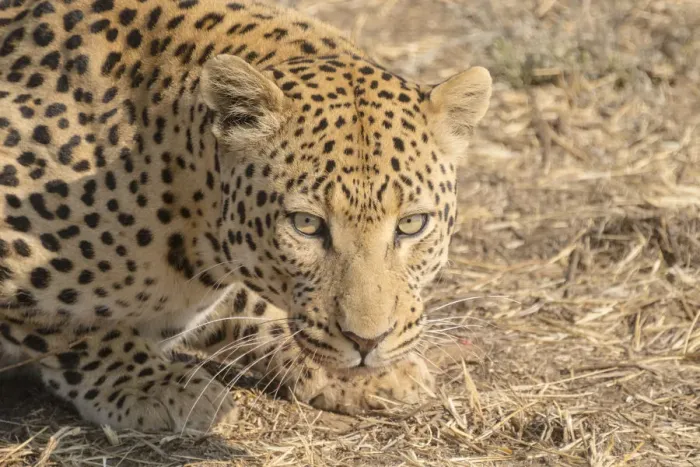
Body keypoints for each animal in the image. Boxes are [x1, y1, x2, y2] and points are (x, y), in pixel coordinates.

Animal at [0, 0, 491, 432]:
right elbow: (71, 330)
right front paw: (154, 387)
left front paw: (370, 372)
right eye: (306, 225)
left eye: (411, 224)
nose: (367, 343)